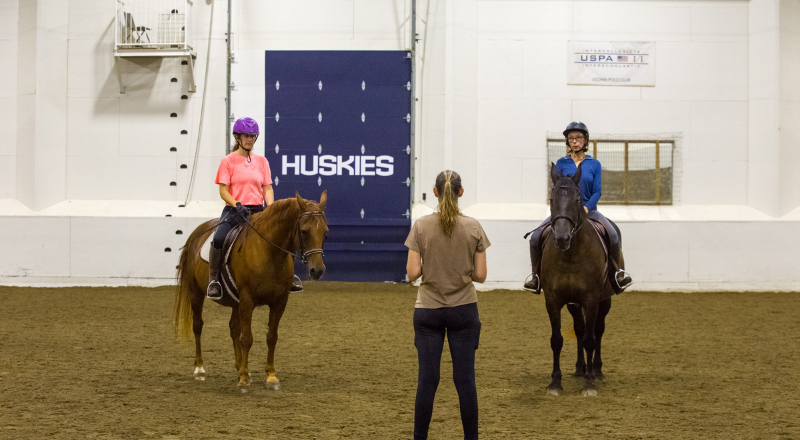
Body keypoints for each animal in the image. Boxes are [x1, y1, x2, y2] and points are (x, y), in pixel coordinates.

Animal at [173, 192, 326, 392]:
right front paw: (243, 380)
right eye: (305, 231)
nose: (317, 271)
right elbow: (246, 338)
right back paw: (200, 369)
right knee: (198, 326)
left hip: (234, 302)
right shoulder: (247, 300)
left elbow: (271, 337)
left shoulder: (279, 302)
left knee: (233, 328)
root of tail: (196, 232)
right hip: (196, 293)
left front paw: (271, 376)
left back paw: (239, 367)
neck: (270, 253)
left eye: (325, 232)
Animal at [540, 163, 616, 398]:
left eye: (577, 200)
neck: (570, 255)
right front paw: (555, 383)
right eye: (552, 200)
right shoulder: (553, 300)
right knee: (580, 329)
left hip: (604, 300)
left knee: (597, 331)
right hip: (574, 304)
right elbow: (557, 340)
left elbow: (590, 340)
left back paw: (596, 371)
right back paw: (579, 369)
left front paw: (590, 384)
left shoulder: (591, 299)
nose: (562, 238)